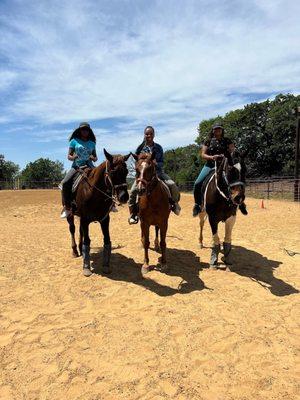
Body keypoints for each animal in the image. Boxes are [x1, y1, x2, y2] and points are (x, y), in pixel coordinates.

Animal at [67, 148, 130, 276]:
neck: (94, 193)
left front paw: (106, 265)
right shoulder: (85, 219)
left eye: (126, 171)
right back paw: (75, 251)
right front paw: (86, 267)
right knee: (72, 229)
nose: (124, 197)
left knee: (80, 231)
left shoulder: (105, 219)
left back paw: (80, 250)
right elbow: (87, 241)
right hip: (70, 214)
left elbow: (107, 241)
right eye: (113, 172)